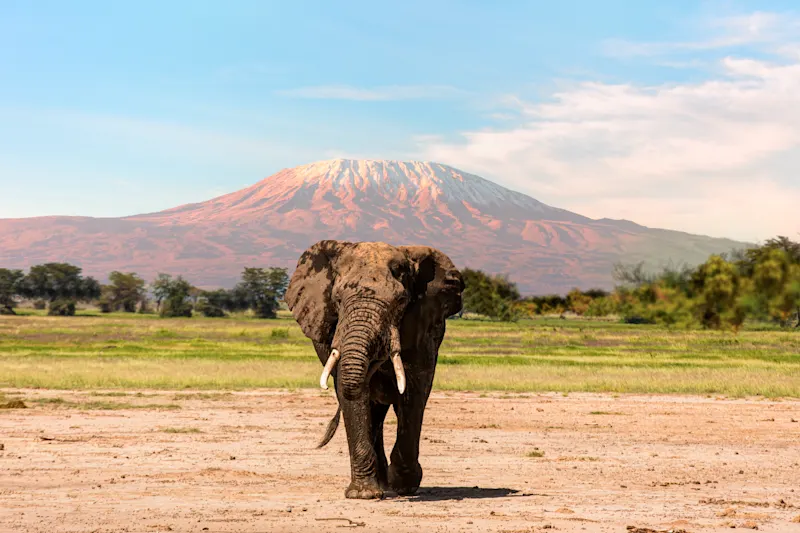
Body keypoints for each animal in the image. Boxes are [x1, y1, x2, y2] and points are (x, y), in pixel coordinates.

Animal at [286, 240, 462, 498]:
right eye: (337, 300)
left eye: (401, 302)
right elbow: (351, 390)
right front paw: (364, 494)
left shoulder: (423, 327)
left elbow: (413, 391)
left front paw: (403, 485)